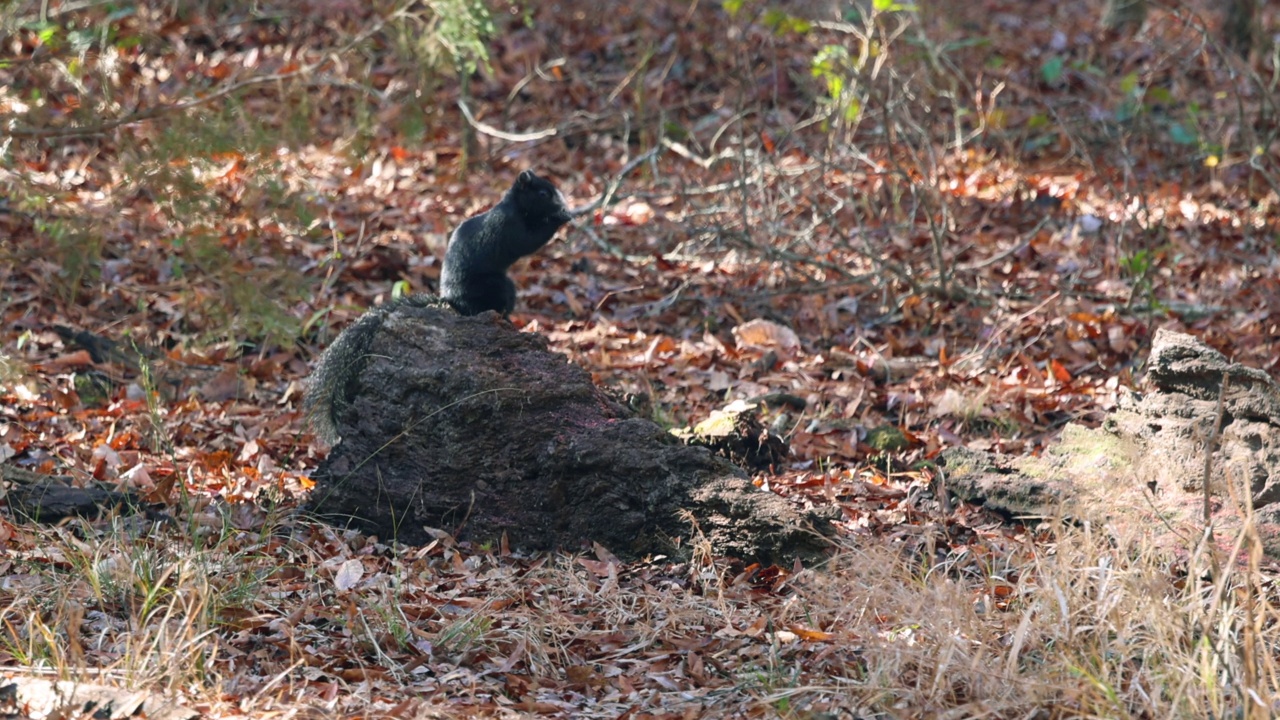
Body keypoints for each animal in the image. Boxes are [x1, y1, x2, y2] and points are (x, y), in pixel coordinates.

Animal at [303, 170, 570, 440]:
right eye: (543, 193)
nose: (563, 206)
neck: (514, 207)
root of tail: (451, 300)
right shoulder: (508, 227)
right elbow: (529, 241)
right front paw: (561, 219)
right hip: (496, 286)